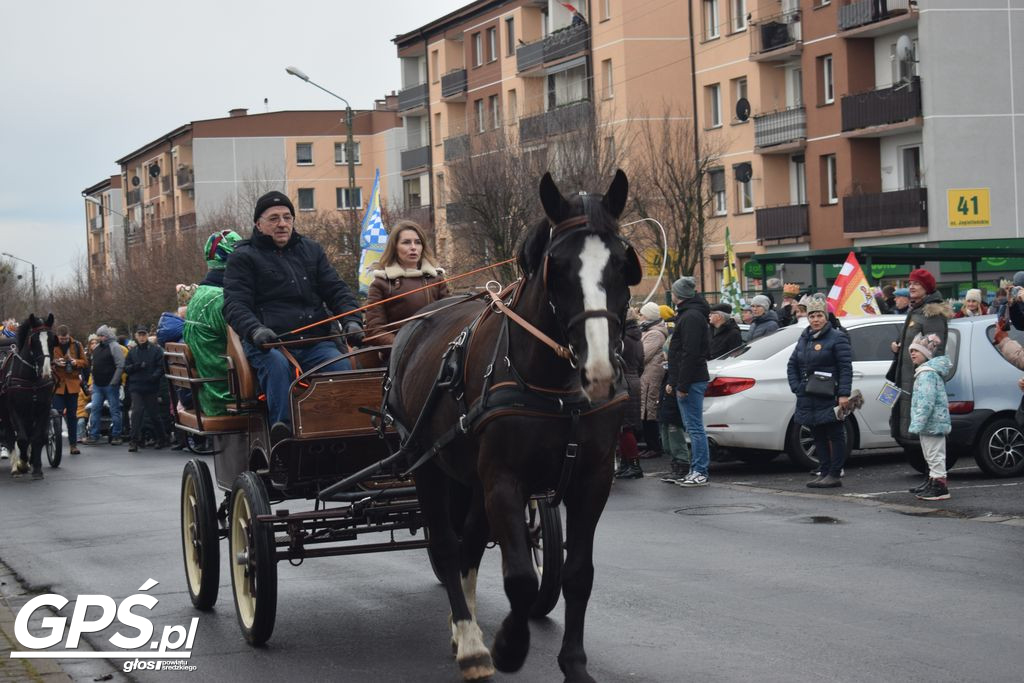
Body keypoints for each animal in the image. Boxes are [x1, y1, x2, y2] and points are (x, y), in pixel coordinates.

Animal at [0, 313, 55, 479]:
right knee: (10, 436)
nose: (45, 371)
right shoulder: (14, 410)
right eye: (34, 341)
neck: (32, 380)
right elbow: (22, 439)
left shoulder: (44, 409)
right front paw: (21, 464)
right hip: (6, 413)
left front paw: (36, 467)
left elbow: (38, 438)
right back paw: (15, 466)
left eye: (52, 340)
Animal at [385, 169, 638, 679]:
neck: (558, 389)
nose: (599, 371)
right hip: (427, 464)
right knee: (448, 546)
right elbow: (519, 576)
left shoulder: (593, 478)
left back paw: (463, 626)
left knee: (468, 545)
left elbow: (578, 575)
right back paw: (471, 642)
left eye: (624, 265)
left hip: (468, 476)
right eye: (558, 267)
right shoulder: (503, 479)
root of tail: (418, 322)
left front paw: (574, 663)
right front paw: (507, 646)